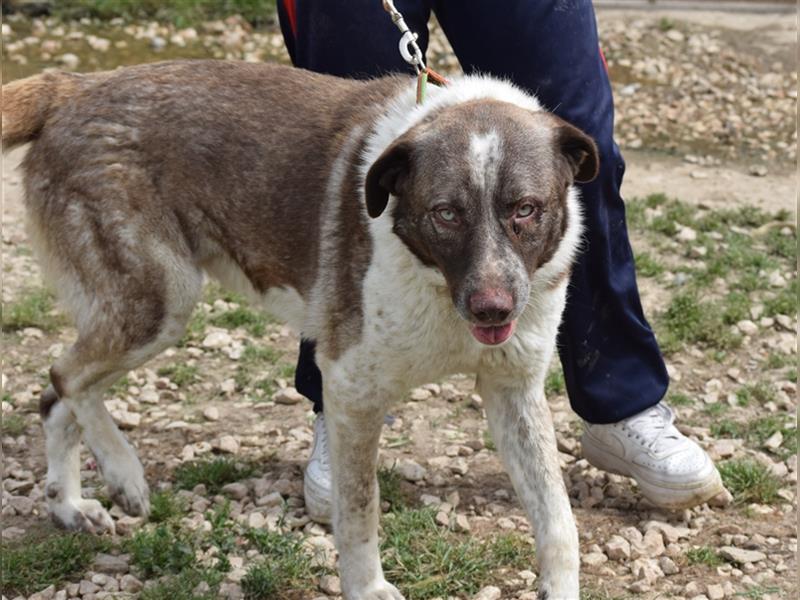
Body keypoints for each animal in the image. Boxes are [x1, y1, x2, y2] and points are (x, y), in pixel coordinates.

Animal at [3, 61, 596, 600]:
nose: (492, 310)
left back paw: (70, 506)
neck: (437, 285)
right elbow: (359, 510)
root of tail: (72, 85)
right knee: (67, 376)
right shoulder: (352, 389)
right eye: (446, 213)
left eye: (526, 209)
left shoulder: (514, 390)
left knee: (55, 396)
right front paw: (368, 589)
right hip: (159, 302)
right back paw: (123, 473)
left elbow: (558, 519)